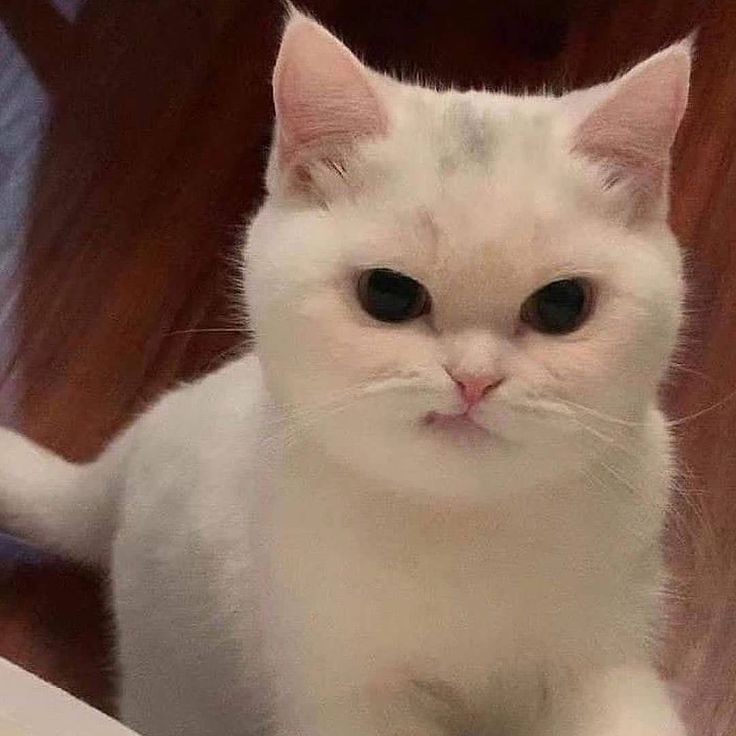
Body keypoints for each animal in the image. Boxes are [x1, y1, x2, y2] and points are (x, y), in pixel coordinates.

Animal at [0, 11, 688, 736]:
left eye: (562, 305)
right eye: (388, 294)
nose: (474, 379)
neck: (459, 530)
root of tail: (122, 463)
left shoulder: (604, 666)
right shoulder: (347, 694)